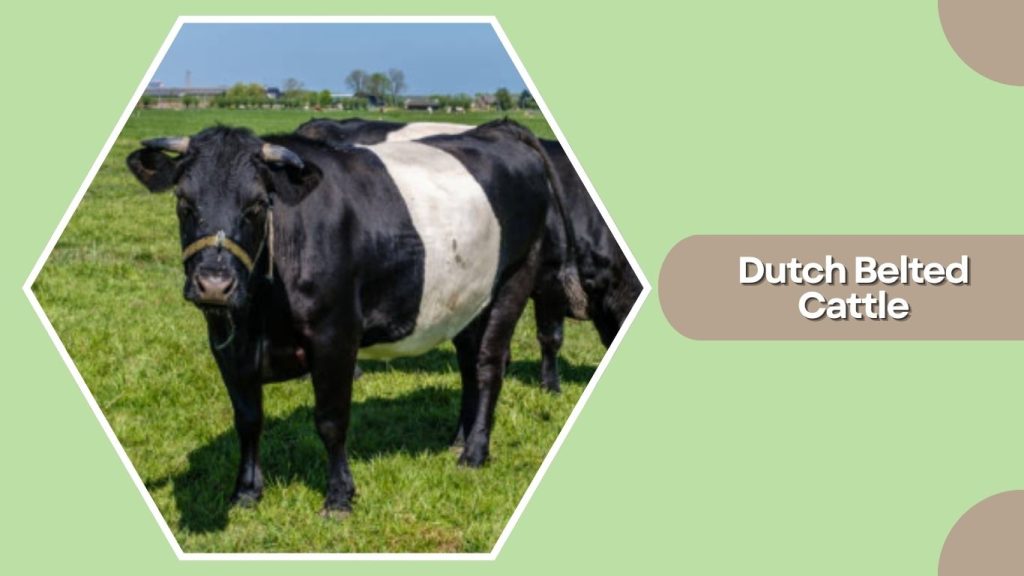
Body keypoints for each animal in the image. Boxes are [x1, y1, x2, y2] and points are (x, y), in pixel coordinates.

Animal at [125, 120, 584, 516]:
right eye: (184, 202)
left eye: (256, 205)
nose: (214, 285)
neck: (261, 315)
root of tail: (497, 129)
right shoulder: (227, 342)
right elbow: (248, 419)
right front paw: (245, 492)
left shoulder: (335, 335)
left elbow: (331, 420)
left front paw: (339, 498)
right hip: (467, 299)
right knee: (470, 365)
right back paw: (459, 439)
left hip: (515, 278)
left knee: (490, 365)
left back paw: (474, 453)